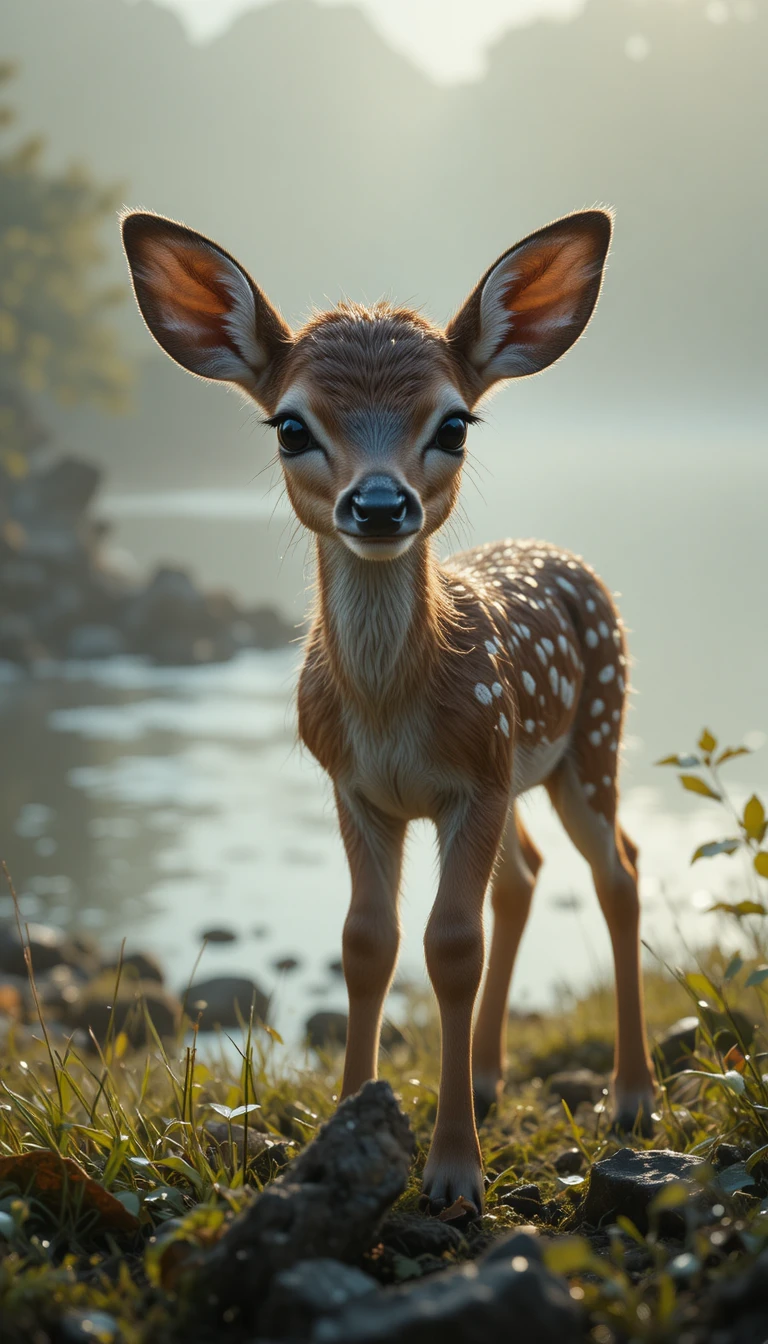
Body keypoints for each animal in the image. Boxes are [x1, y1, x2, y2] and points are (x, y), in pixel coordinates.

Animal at [121, 207, 656, 1213]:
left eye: (454, 422)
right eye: (291, 426)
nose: (378, 503)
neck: (392, 710)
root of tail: (566, 558)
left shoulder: (473, 776)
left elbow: (451, 945)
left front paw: (453, 1174)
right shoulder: (355, 785)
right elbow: (367, 941)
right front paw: (338, 1140)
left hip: (592, 738)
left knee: (619, 871)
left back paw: (633, 1098)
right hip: (527, 770)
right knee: (526, 876)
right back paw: (486, 1075)